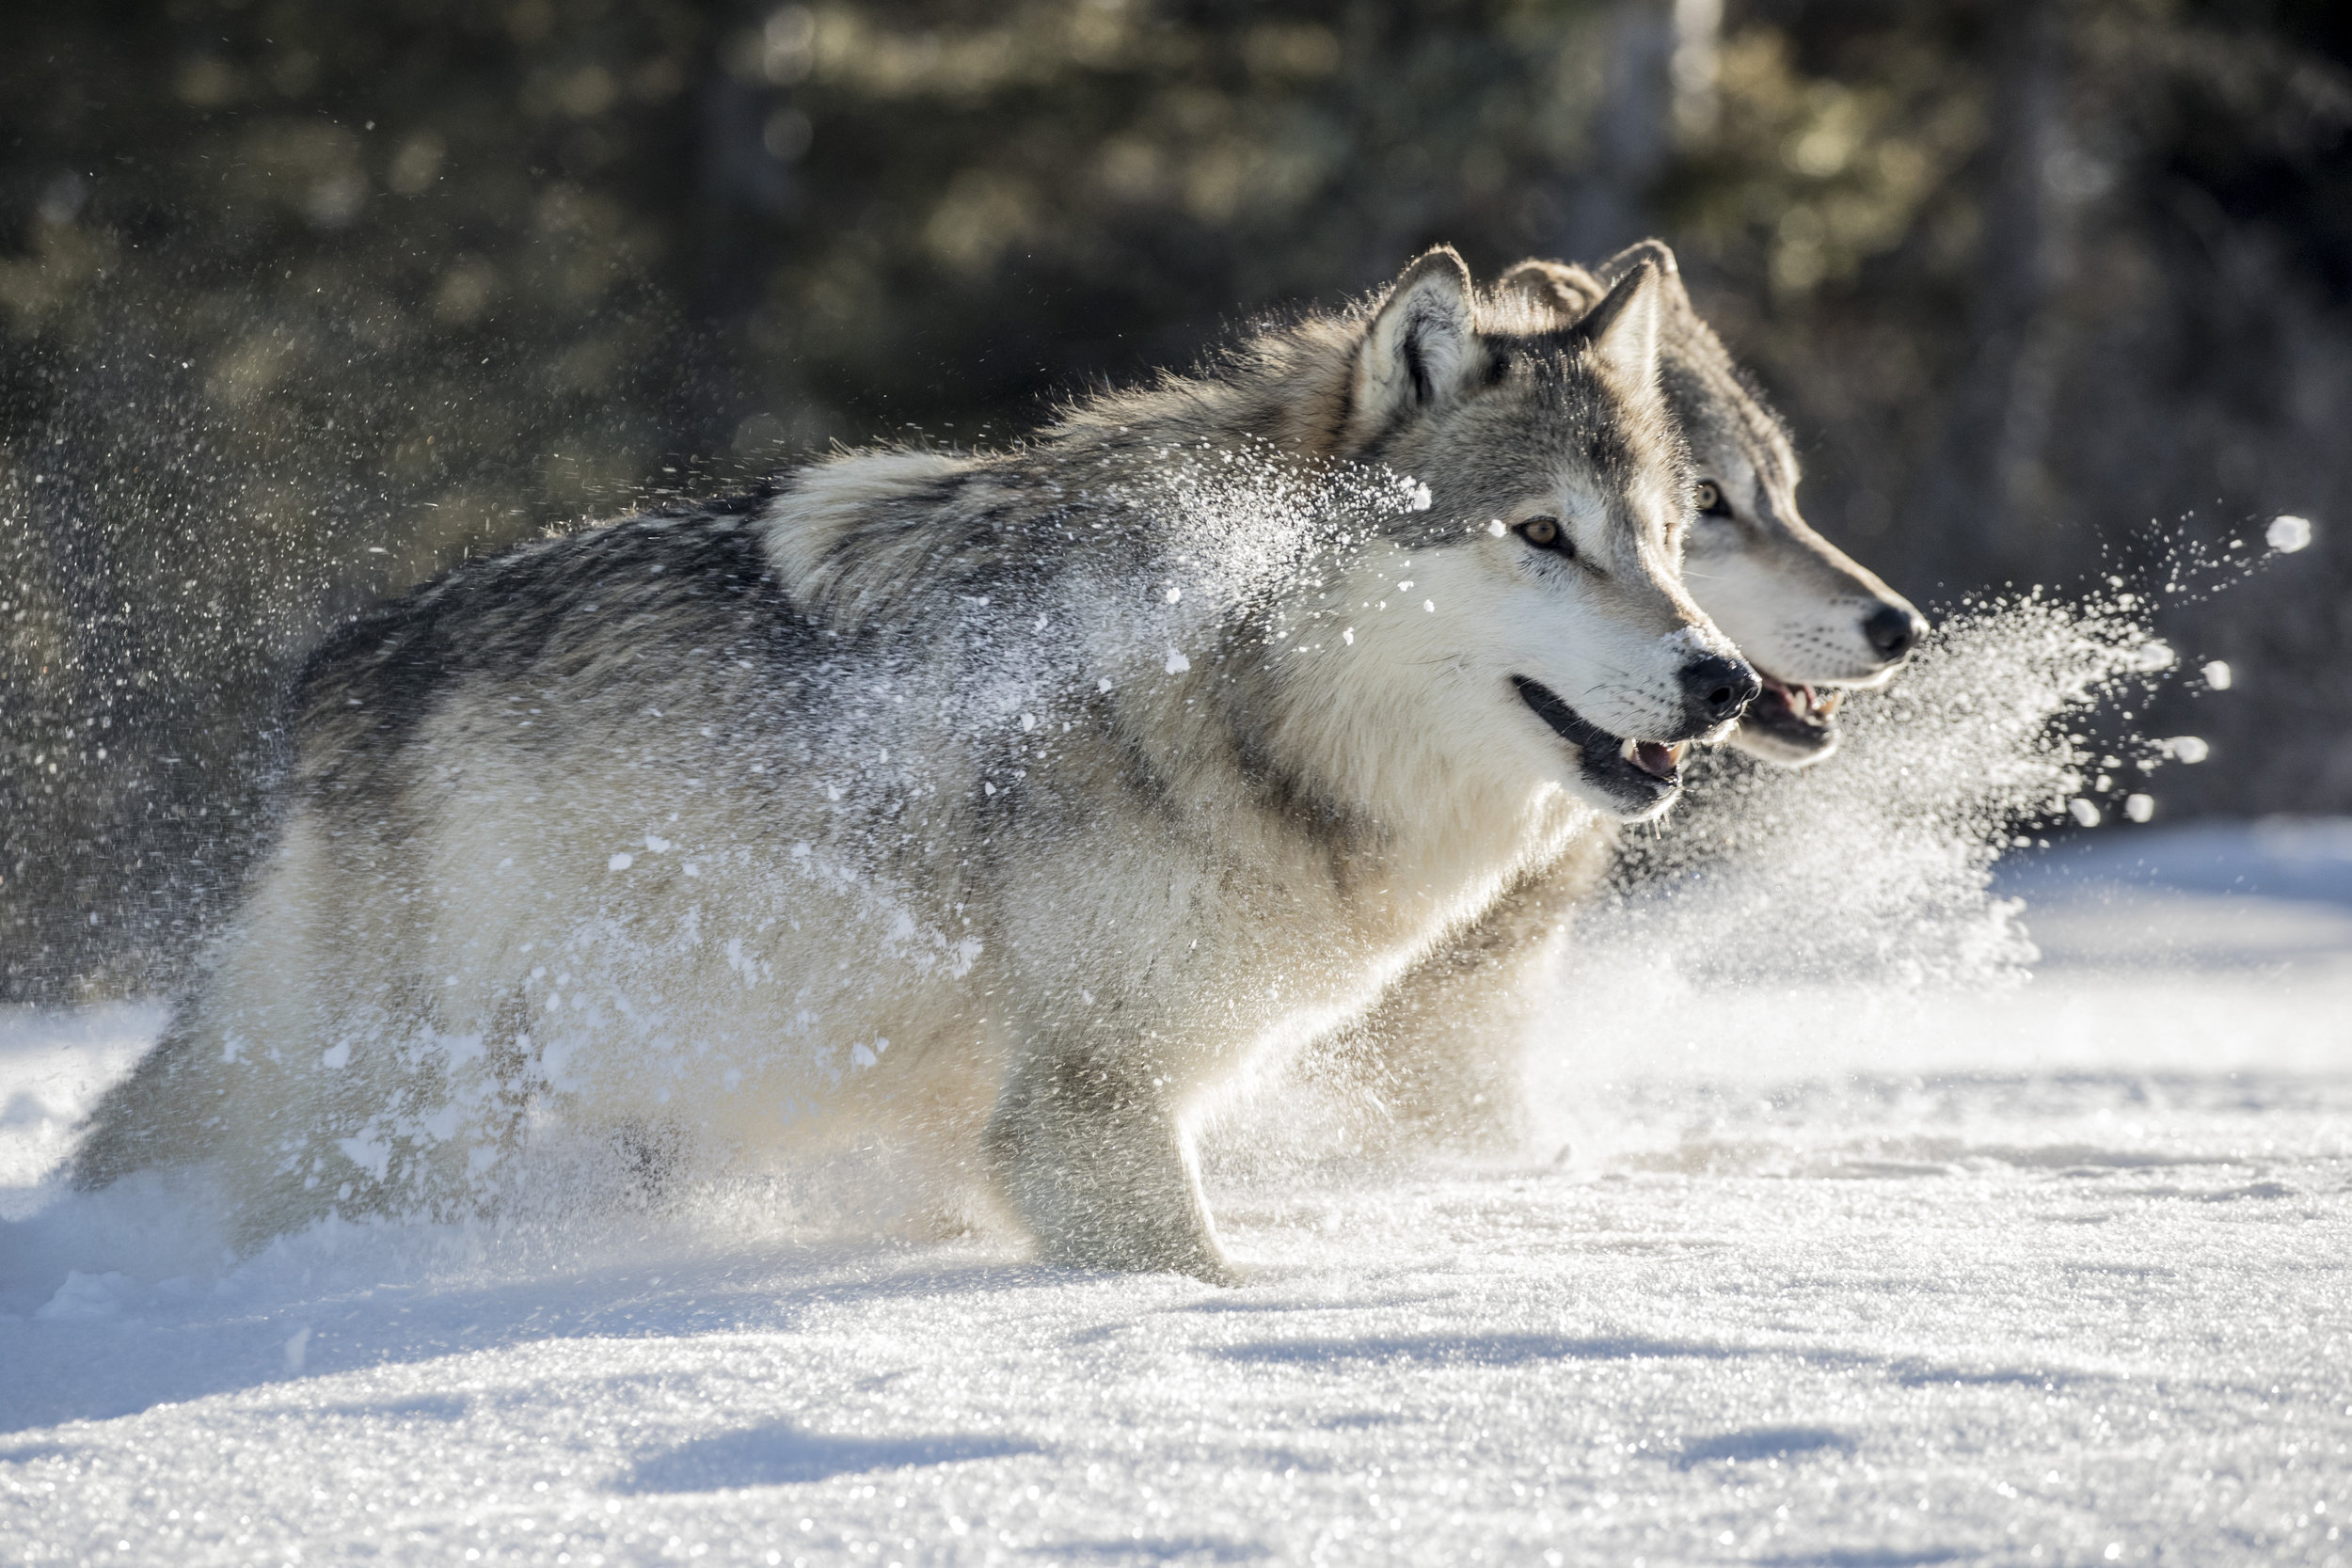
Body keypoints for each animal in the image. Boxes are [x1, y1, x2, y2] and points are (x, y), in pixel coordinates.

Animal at [73, 242, 1759, 1278]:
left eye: (1668, 538)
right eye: (1539, 533)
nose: (1724, 678)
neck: (1227, 690)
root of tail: (335, 675)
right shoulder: (1087, 1110)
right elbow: (1196, 1274)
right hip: (421, 1118)